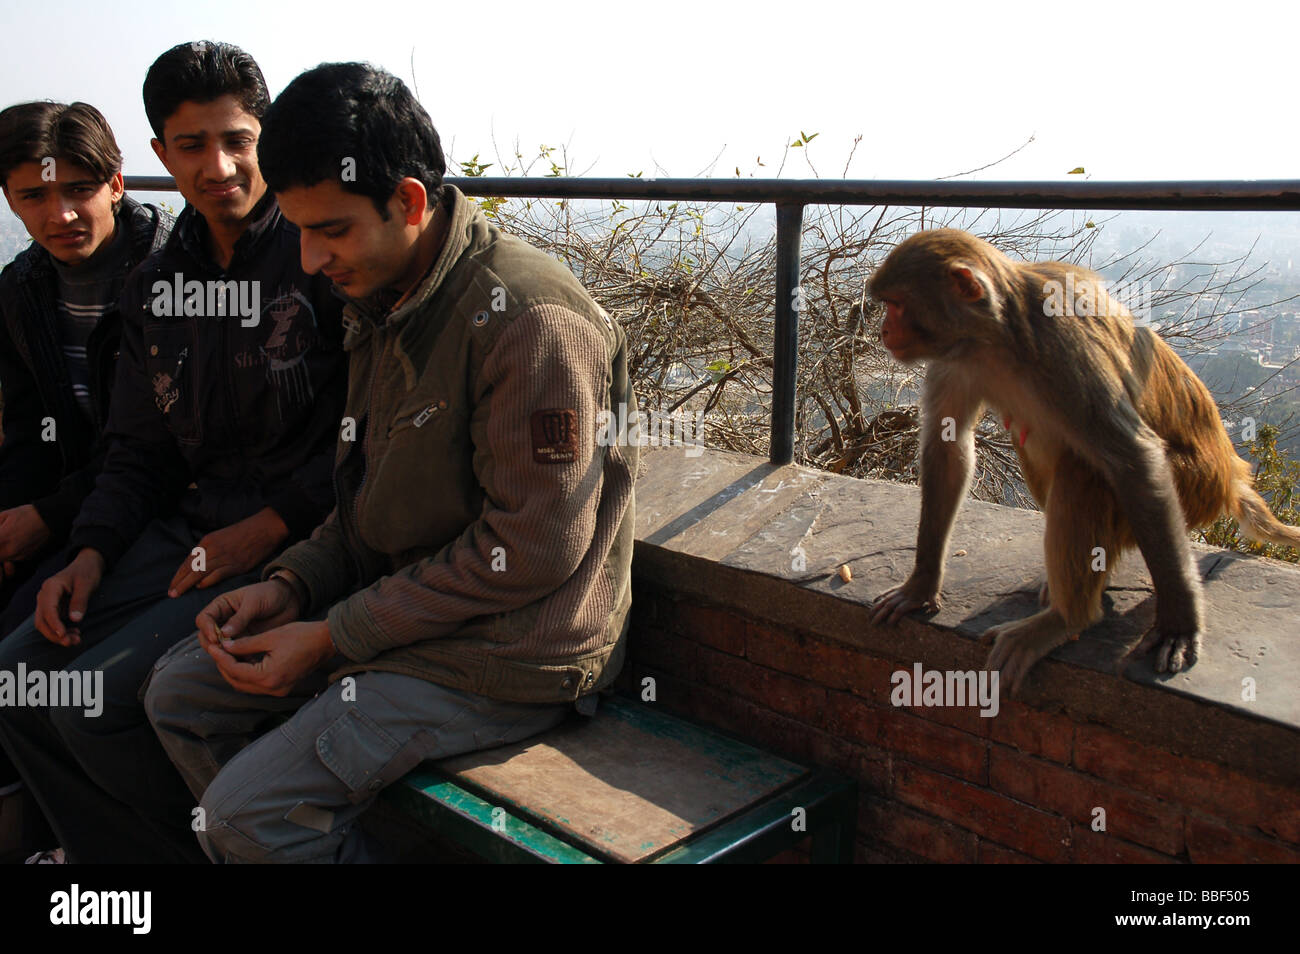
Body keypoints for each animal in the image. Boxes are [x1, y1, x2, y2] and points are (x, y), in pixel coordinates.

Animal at [863, 230, 1300, 696]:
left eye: (897, 304)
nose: (883, 328)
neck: (996, 336)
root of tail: (1230, 475)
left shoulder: (1063, 346)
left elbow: (1135, 460)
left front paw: (1179, 622)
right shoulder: (956, 356)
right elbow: (948, 446)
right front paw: (921, 585)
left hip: (1194, 487)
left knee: (1085, 470)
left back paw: (1066, 619)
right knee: (1037, 441)